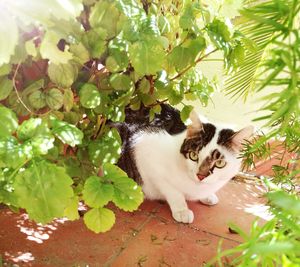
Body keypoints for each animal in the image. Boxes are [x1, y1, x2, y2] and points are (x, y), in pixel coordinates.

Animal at [112, 104, 253, 224]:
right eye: (193, 155)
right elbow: (173, 191)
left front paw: (207, 196)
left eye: (219, 163)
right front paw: (181, 210)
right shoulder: (144, 152)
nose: (201, 176)